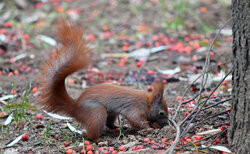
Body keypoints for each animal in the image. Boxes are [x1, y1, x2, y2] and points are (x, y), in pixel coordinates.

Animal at [38, 19, 168, 141]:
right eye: (161, 113)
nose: (167, 123)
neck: (147, 103)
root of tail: (75, 107)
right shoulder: (135, 109)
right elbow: (137, 121)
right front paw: (149, 129)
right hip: (97, 112)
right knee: (92, 133)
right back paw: (96, 139)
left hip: (111, 113)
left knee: (108, 123)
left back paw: (116, 128)